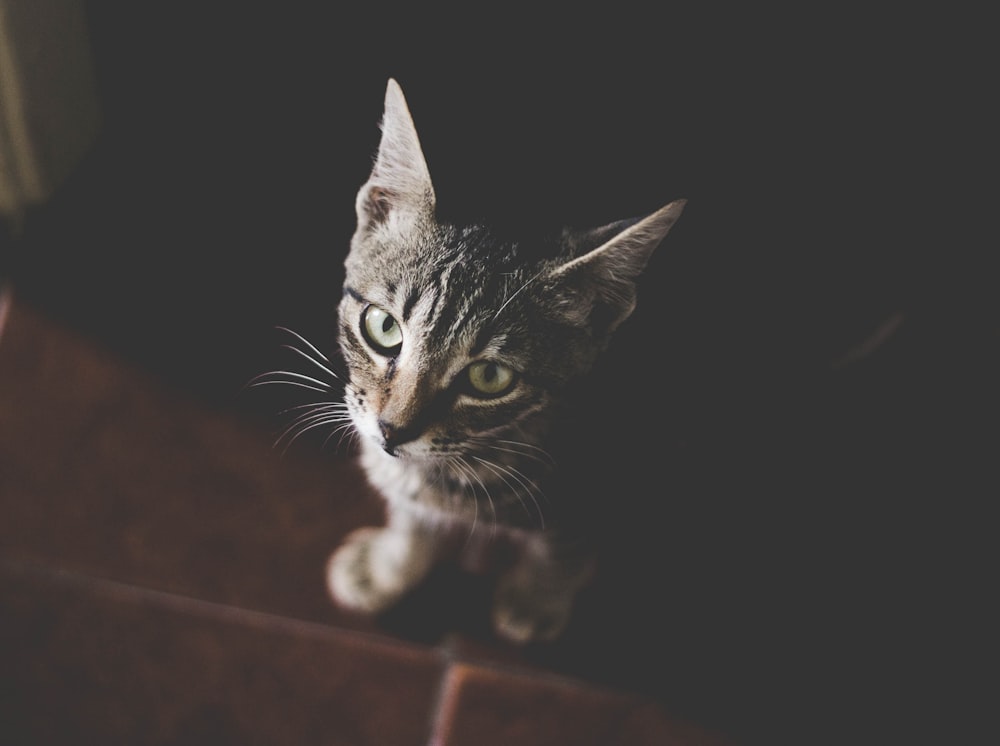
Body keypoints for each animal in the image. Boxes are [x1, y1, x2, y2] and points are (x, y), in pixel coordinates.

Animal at [328, 78, 688, 644]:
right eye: (383, 327)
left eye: (489, 377)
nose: (391, 430)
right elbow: (413, 517)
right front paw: (391, 565)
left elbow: (567, 546)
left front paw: (537, 597)